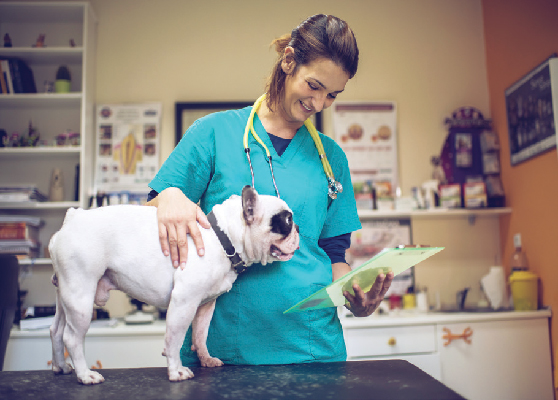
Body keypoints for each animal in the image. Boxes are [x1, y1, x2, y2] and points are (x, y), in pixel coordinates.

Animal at [48, 187, 302, 384]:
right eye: (287, 220)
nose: (298, 228)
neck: (223, 238)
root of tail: (72, 219)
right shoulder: (184, 302)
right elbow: (175, 338)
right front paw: (176, 370)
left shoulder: (205, 305)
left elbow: (200, 334)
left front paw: (205, 359)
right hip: (81, 296)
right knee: (72, 338)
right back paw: (85, 375)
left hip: (66, 295)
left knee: (56, 331)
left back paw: (61, 367)